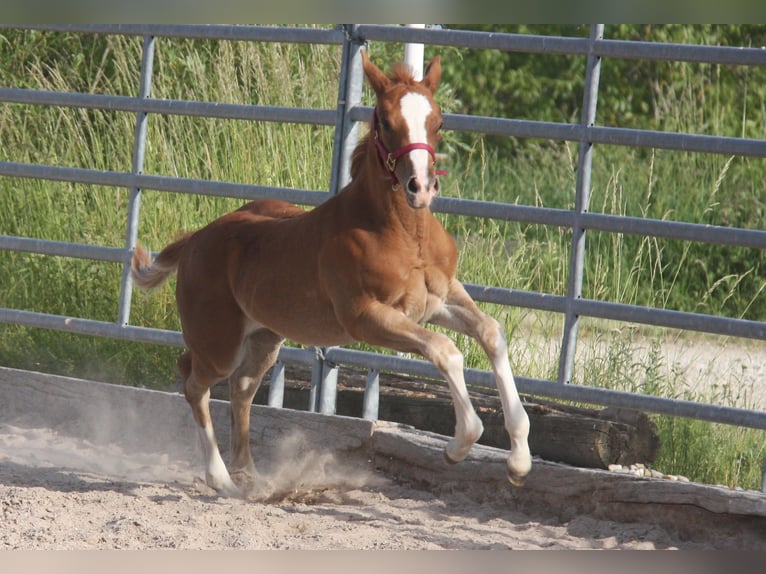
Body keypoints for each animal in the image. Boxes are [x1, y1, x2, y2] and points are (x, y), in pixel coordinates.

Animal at [132, 51, 532, 498]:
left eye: (439, 121)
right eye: (386, 121)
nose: (420, 187)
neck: (401, 233)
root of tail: (196, 240)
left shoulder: (439, 300)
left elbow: (491, 332)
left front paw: (519, 461)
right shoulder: (366, 318)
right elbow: (446, 351)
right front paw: (460, 444)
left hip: (264, 338)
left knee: (241, 388)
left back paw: (249, 474)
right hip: (219, 343)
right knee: (194, 382)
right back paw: (221, 478)